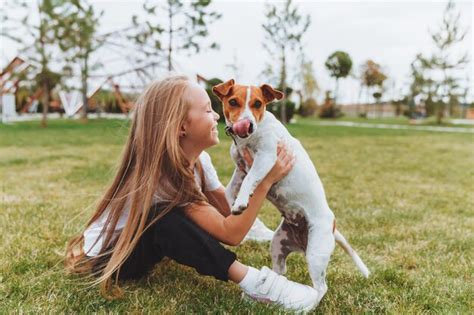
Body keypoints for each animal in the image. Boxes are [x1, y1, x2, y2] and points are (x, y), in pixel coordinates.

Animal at [212, 79, 370, 306]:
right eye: (233, 102)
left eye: (258, 103)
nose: (247, 125)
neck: (250, 137)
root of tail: (332, 225)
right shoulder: (241, 168)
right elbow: (230, 188)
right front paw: (235, 203)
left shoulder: (266, 157)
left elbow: (250, 180)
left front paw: (241, 202)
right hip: (278, 245)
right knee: (280, 271)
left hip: (316, 255)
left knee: (321, 287)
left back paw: (309, 304)